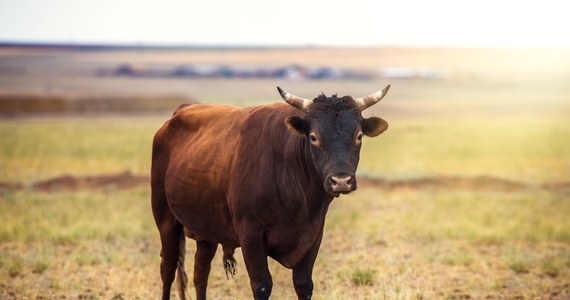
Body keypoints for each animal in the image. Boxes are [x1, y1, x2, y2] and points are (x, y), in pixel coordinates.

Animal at [151, 85, 390, 300]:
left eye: (359, 136)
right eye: (313, 137)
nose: (341, 181)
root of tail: (178, 113)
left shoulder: (313, 236)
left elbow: (303, 285)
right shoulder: (250, 236)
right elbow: (262, 285)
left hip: (207, 230)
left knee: (201, 272)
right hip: (165, 219)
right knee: (168, 267)